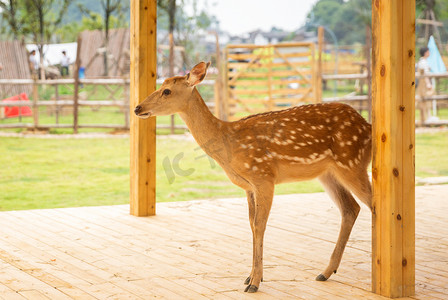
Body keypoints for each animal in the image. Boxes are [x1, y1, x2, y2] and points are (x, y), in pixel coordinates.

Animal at [135, 61, 372, 292]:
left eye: (166, 90)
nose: (138, 108)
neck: (228, 143)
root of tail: (368, 126)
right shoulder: (249, 186)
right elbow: (251, 224)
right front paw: (249, 277)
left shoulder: (264, 176)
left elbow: (260, 225)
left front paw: (255, 282)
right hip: (328, 173)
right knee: (351, 208)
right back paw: (325, 272)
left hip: (353, 162)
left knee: (374, 204)